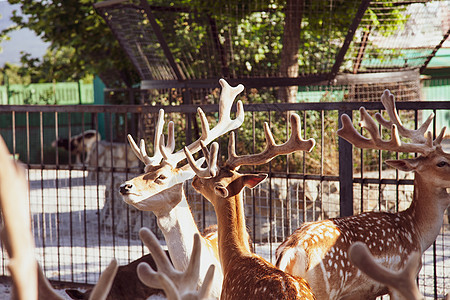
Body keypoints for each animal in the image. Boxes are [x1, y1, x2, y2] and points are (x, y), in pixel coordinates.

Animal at [274, 89, 450, 300]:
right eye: (441, 162)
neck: (416, 233)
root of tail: (290, 251)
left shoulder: (364, 293)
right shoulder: (400, 278)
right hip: (324, 288)